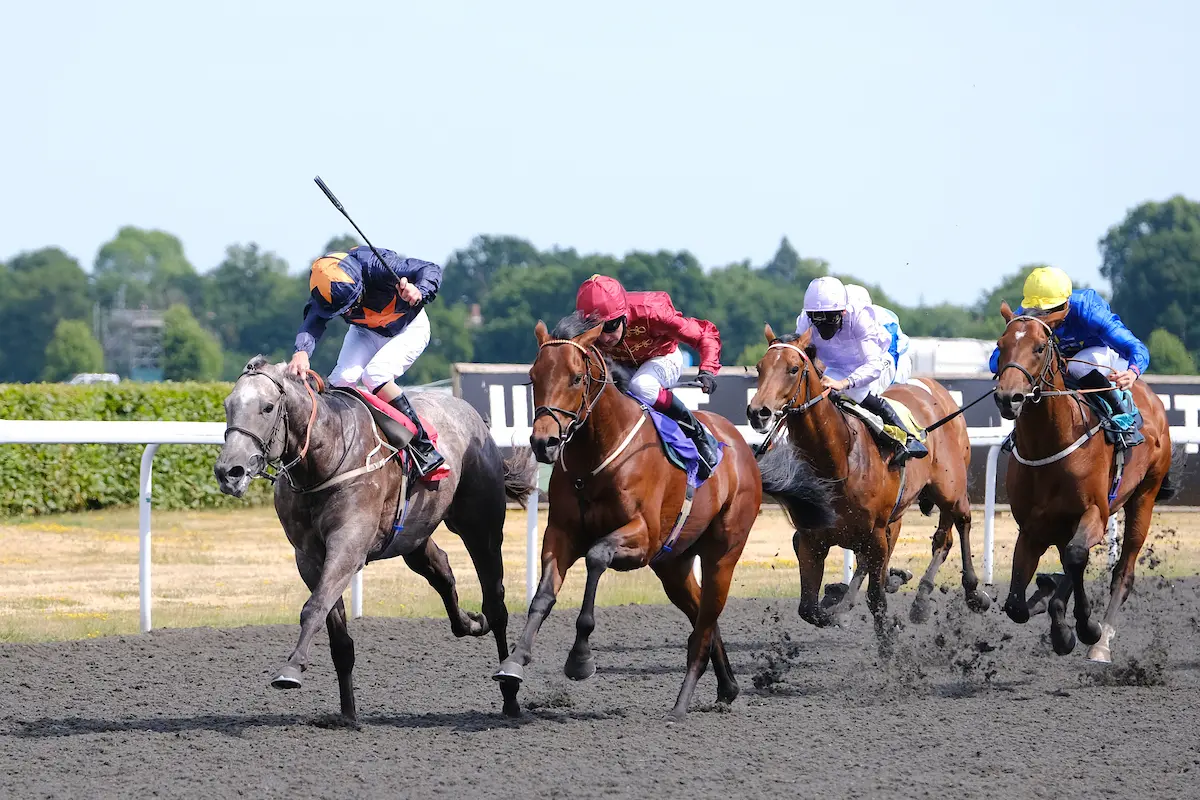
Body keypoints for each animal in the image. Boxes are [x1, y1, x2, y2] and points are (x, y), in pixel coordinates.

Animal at [213, 356, 537, 721]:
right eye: (228, 405)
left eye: (267, 407)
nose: (229, 472)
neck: (326, 457)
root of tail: (472, 415)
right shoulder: (308, 557)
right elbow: (336, 632)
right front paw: (347, 714)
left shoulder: (347, 546)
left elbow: (314, 607)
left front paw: (292, 668)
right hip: (413, 536)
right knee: (441, 571)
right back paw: (470, 623)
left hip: (480, 527)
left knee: (496, 603)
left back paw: (509, 691)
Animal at [494, 314, 805, 720]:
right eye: (533, 376)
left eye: (576, 378)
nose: (543, 442)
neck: (597, 457)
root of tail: (742, 448)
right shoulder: (561, 533)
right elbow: (543, 596)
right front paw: (514, 662)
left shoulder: (643, 537)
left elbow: (596, 556)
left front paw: (580, 658)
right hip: (673, 564)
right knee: (701, 614)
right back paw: (728, 687)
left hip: (722, 554)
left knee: (705, 621)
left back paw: (681, 705)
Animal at [747, 324, 990, 648]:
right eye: (759, 368)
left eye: (793, 368)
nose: (758, 412)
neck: (838, 458)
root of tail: (936, 389)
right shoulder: (812, 540)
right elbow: (808, 609)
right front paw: (839, 609)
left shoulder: (874, 532)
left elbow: (875, 598)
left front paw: (888, 636)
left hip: (950, 489)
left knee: (956, 527)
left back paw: (970, 593)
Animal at [994, 303, 1178, 662]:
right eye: (1001, 344)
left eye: (1040, 348)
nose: (1009, 398)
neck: (1050, 445)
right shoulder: (1032, 527)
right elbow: (1015, 605)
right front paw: (1050, 606)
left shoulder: (1095, 511)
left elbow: (1077, 556)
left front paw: (1082, 629)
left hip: (1144, 497)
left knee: (1122, 572)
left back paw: (1101, 642)